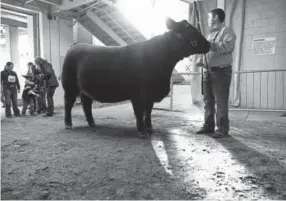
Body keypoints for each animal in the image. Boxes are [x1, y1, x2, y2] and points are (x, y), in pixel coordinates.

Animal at [61, 17, 210, 137]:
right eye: (189, 30)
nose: (209, 44)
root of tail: (75, 46)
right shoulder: (138, 95)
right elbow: (139, 112)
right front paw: (142, 132)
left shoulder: (150, 95)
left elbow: (148, 113)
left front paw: (150, 129)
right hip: (69, 87)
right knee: (68, 104)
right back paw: (68, 124)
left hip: (85, 90)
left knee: (86, 104)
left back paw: (92, 123)